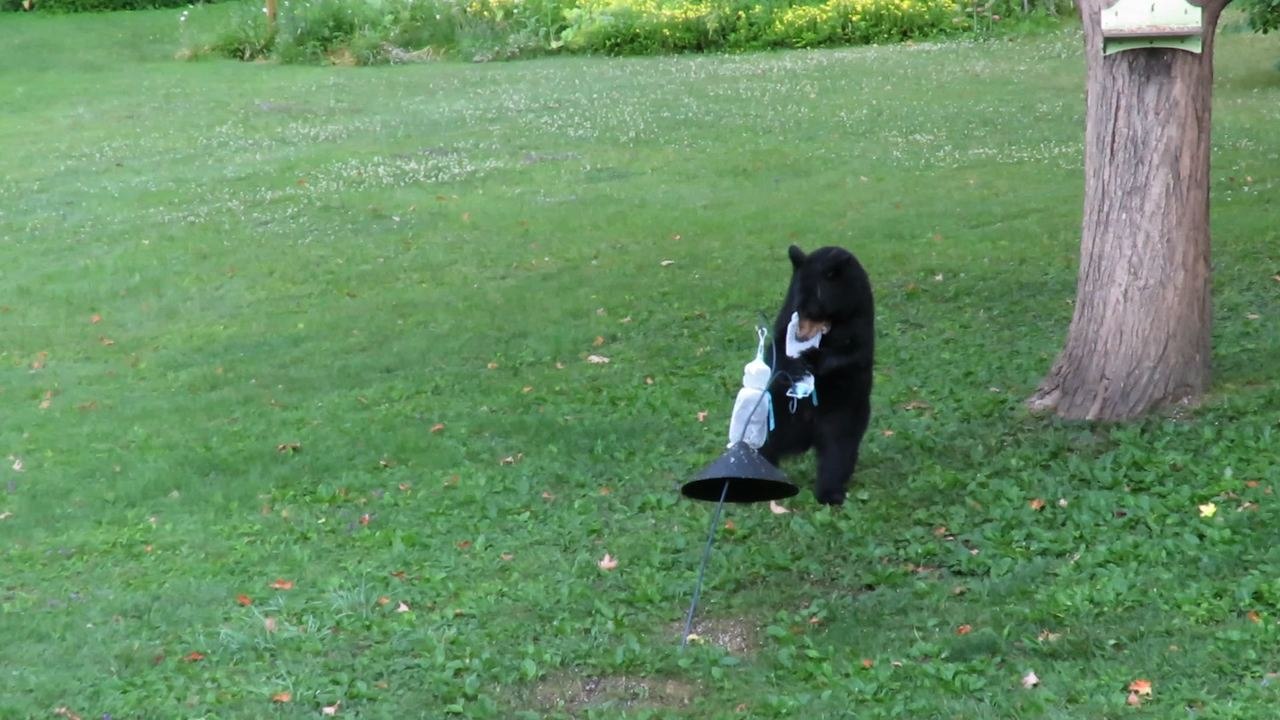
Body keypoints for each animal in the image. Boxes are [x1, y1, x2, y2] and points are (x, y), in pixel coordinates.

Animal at [758, 245, 874, 506]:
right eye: (798, 308)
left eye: (813, 309)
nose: (800, 337)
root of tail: (807, 435)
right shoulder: (786, 317)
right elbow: (778, 346)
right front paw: (794, 362)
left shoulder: (861, 318)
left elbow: (854, 353)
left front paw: (813, 357)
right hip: (777, 412)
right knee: (765, 441)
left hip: (843, 415)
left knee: (837, 453)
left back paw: (830, 493)